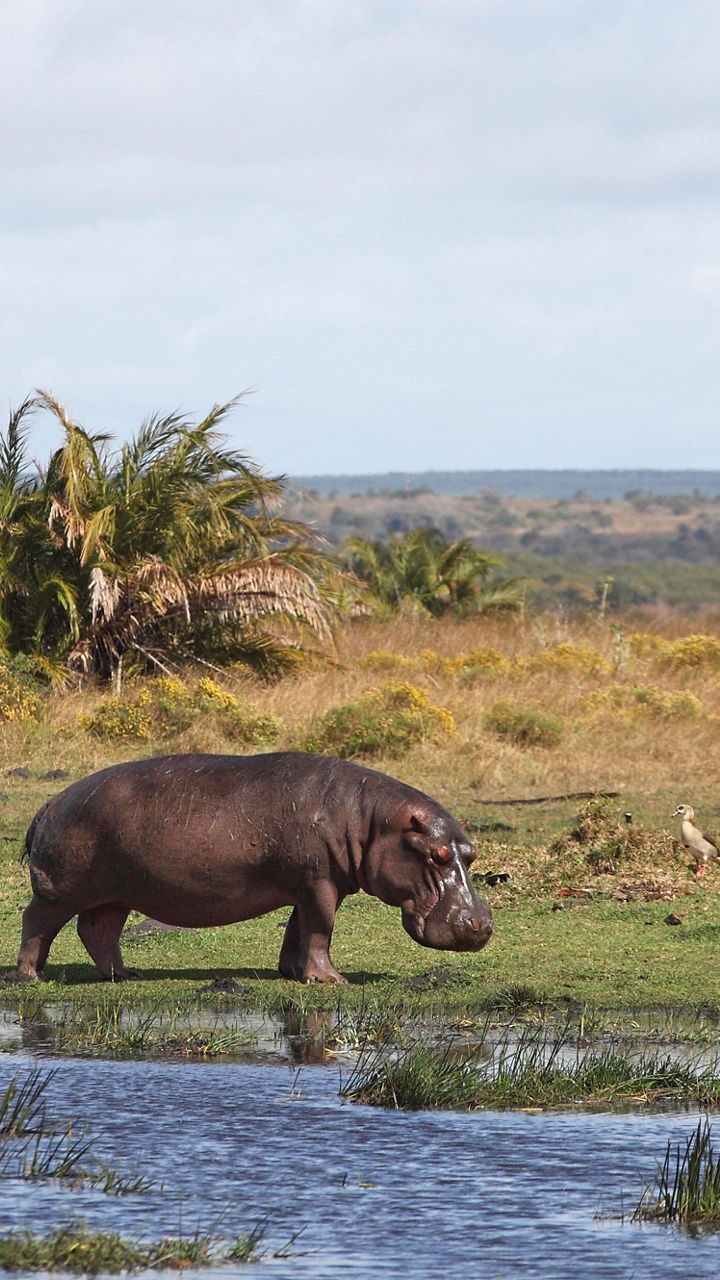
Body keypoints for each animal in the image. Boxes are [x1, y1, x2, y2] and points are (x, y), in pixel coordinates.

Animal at [16, 751, 493, 983]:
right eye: (437, 855)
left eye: (470, 854)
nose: (482, 925)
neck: (370, 819)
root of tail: (50, 801)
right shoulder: (319, 881)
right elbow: (321, 928)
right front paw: (330, 980)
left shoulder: (313, 884)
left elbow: (299, 928)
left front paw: (292, 972)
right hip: (60, 889)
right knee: (36, 922)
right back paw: (31, 976)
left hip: (117, 891)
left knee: (98, 930)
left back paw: (125, 975)